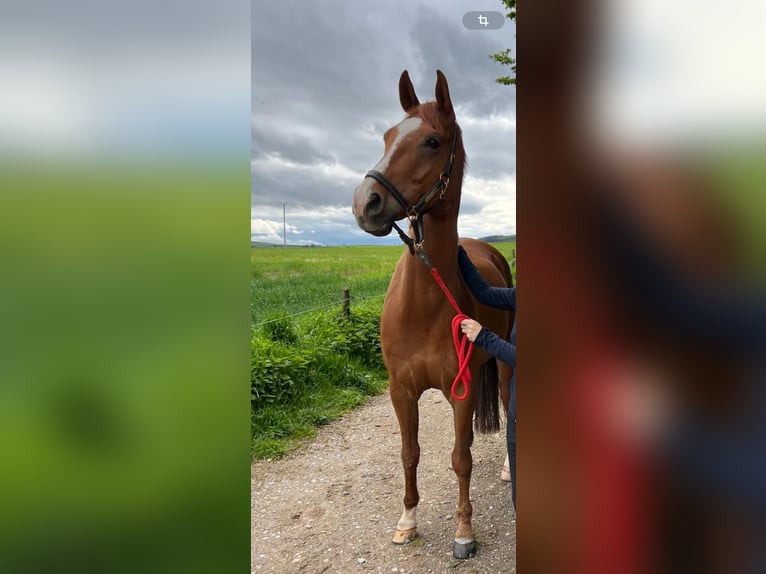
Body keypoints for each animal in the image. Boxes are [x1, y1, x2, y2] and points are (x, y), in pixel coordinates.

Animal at [354, 70, 516, 560]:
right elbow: (410, 453)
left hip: (501, 365)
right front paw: (407, 521)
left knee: (506, 405)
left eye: (431, 141)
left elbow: (461, 458)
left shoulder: (462, 391)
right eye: (388, 136)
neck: (423, 306)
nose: (365, 202)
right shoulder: (401, 391)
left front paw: (464, 532)